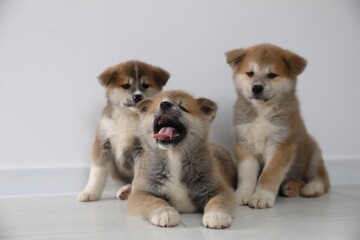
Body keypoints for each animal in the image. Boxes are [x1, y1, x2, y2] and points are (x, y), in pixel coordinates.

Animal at [77, 60, 170, 202]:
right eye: (126, 85)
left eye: (145, 85)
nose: (138, 96)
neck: (128, 116)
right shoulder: (103, 143)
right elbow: (97, 172)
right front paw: (90, 192)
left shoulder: (141, 149)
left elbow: (139, 175)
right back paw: (124, 191)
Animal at [128, 90, 238, 229]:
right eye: (158, 105)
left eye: (183, 107)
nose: (164, 104)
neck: (174, 156)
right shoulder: (141, 193)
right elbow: (154, 200)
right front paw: (165, 211)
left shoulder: (220, 189)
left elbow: (217, 201)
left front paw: (216, 214)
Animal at [226, 44, 330, 209]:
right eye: (250, 73)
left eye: (272, 75)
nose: (256, 88)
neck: (262, 112)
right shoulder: (245, 146)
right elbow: (246, 176)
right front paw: (241, 195)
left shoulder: (281, 145)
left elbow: (269, 175)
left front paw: (262, 196)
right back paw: (291, 186)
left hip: (313, 155)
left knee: (322, 179)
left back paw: (311, 188)